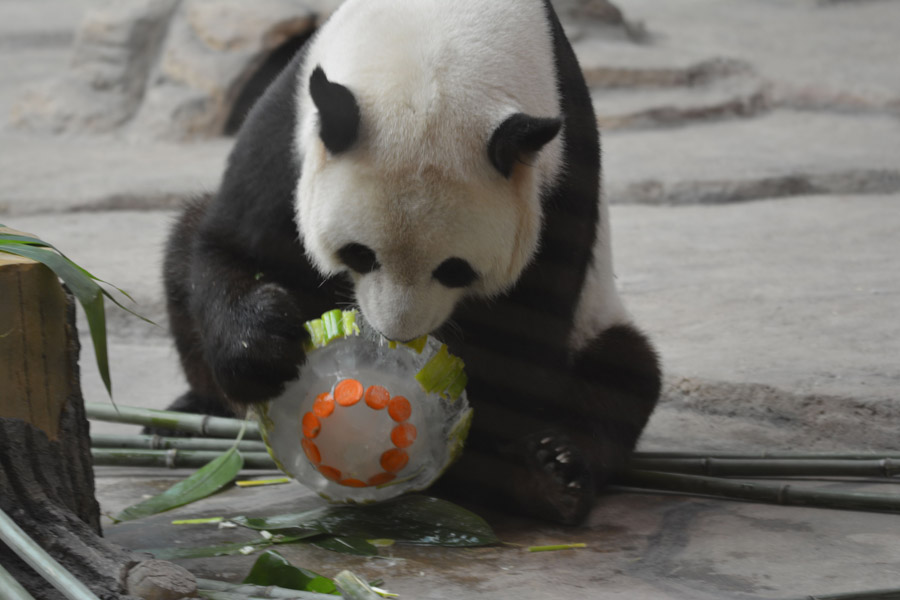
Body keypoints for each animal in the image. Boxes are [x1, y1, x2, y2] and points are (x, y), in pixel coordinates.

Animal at [160, 0, 660, 524]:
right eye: (359, 254)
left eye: (455, 269)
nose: (396, 334)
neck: (438, 39)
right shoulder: (291, 129)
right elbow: (232, 245)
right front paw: (263, 346)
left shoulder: (557, 173)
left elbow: (520, 337)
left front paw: (461, 454)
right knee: (182, 248)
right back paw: (190, 413)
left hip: (597, 320)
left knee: (623, 374)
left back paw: (552, 475)